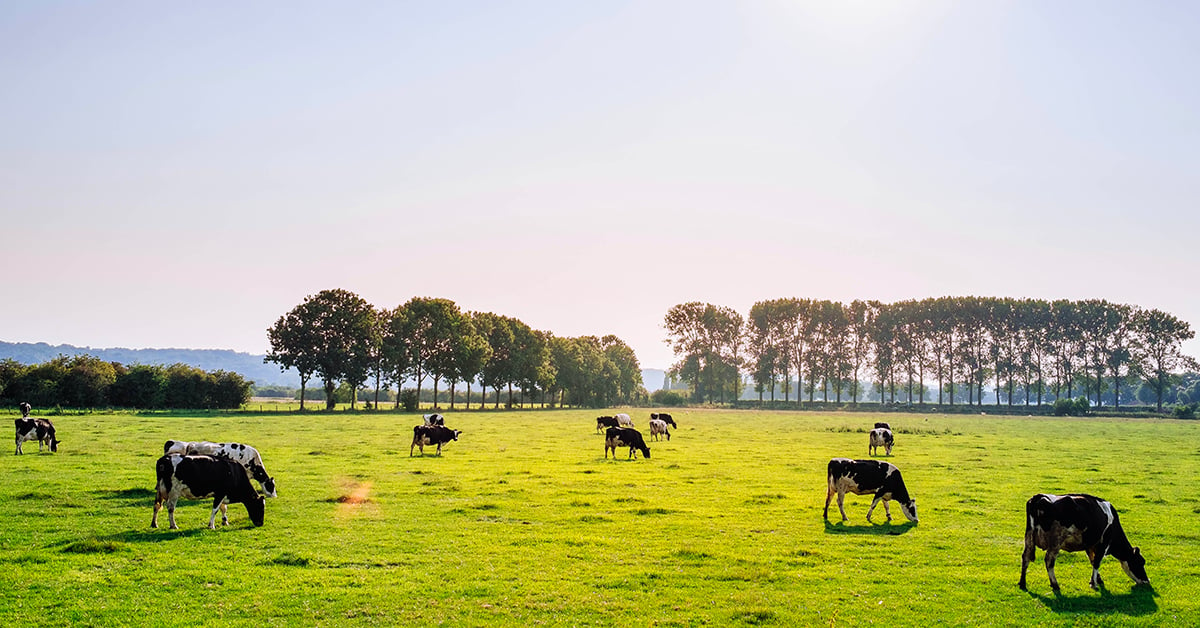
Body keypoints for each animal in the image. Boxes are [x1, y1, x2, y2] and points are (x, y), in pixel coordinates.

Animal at [1017, 494, 1147, 593]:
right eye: (1140, 562)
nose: (1147, 581)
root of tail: (1039, 497)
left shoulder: (1090, 545)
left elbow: (1092, 561)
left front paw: (1097, 580)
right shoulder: (1103, 544)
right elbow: (1097, 562)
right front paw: (1094, 584)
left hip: (1029, 537)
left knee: (1026, 557)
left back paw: (1022, 583)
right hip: (1055, 541)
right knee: (1049, 560)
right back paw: (1055, 584)